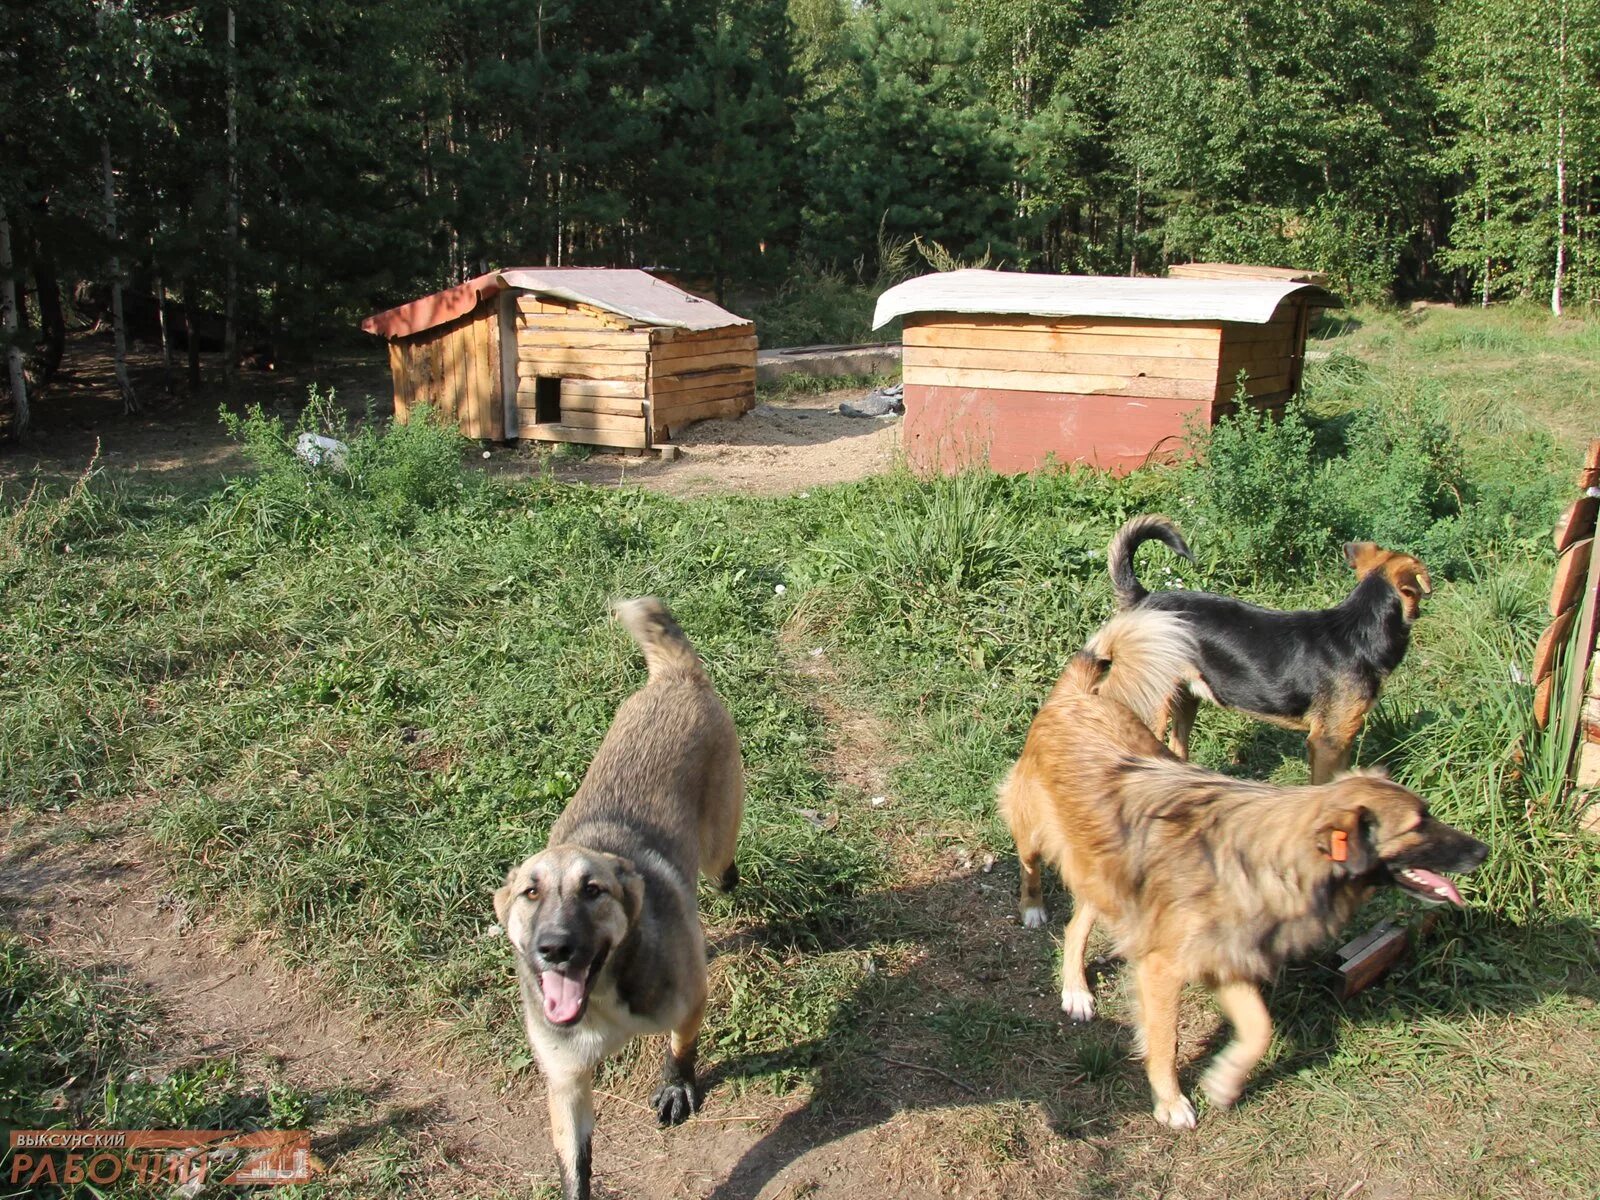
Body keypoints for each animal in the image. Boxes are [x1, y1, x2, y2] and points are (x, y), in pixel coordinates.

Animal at [492, 601, 742, 1200]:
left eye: (593, 890)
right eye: (531, 892)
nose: (555, 948)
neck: (603, 992)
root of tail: (677, 676)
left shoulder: (689, 999)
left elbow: (681, 1047)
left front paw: (677, 1085)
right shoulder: (565, 1081)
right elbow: (575, 1162)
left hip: (717, 845)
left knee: (724, 868)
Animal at [998, 614, 1484, 1132]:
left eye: (1428, 813)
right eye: (1417, 824)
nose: (1483, 849)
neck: (1269, 857)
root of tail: (1078, 694)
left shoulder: (1224, 956)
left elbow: (1260, 1027)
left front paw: (1224, 1080)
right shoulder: (1164, 969)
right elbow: (1165, 1041)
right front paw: (1171, 1101)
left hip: (1107, 872)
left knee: (1077, 926)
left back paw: (1076, 989)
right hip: (1037, 834)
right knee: (1034, 871)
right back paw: (1036, 914)